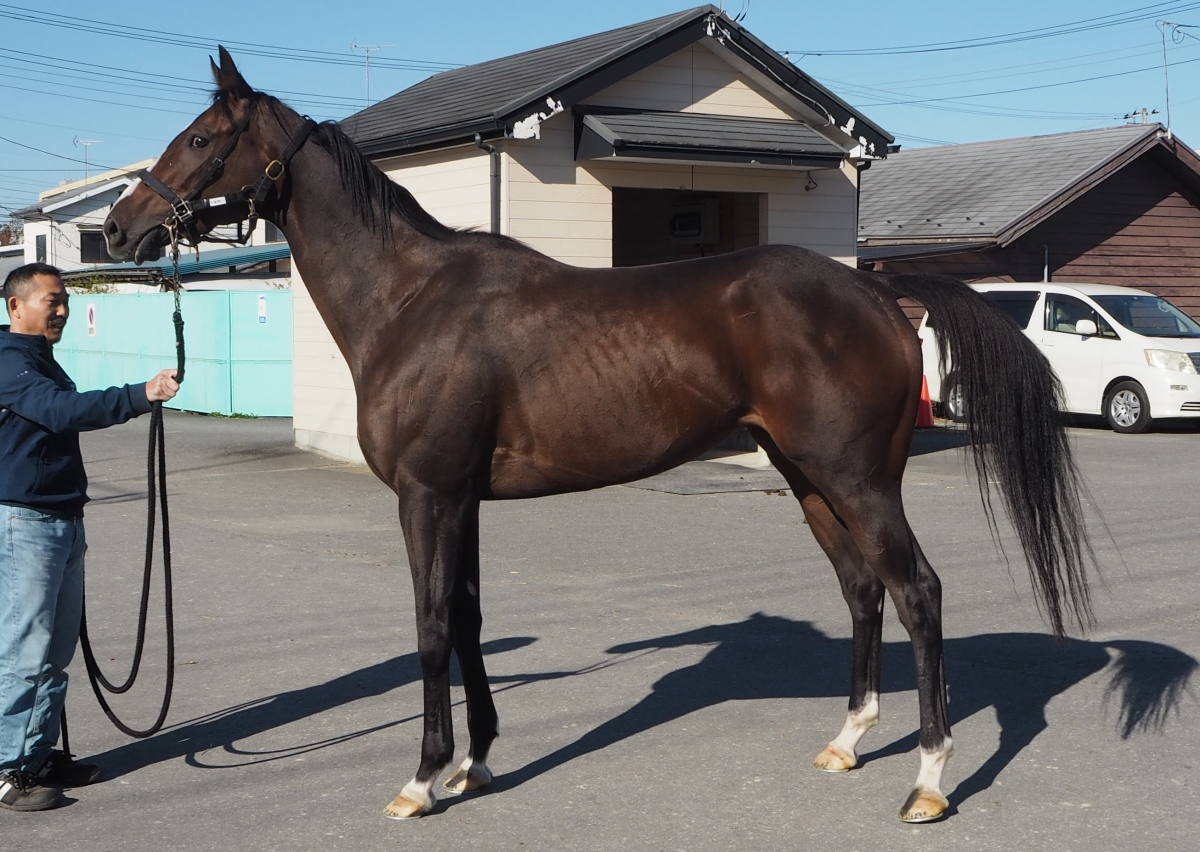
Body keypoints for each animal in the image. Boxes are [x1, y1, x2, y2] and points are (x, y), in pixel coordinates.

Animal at [104, 48, 1095, 824]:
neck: (411, 301)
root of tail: (878, 292)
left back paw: (928, 782)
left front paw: (423, 780)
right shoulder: (462, 500)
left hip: (856, 481)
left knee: (917, 592)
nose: (119, 229)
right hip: (809, 476)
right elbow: (468, 619)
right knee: (863, 590)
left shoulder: (428, 496)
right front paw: (476, 762)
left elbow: (430, 627)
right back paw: (848, 740)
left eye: (201, 140)